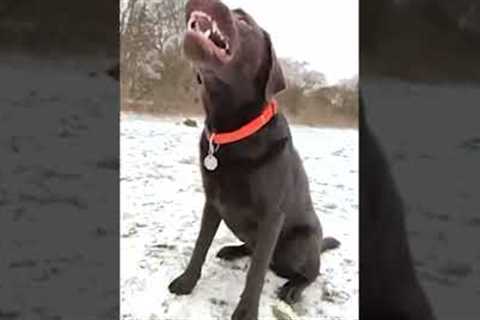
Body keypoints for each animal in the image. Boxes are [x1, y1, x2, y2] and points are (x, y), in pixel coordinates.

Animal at [169, 0, 342, 320]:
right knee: (254, 248)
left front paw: (247, 311)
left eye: (244, 21)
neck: (232, 131)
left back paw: (293, 288)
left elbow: (257, 272)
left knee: (310, 272)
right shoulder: (213, 203)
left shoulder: (272, 216)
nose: (204, 2)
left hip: (299, 243)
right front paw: (186, 282)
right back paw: (233, 250)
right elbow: (200, 246)